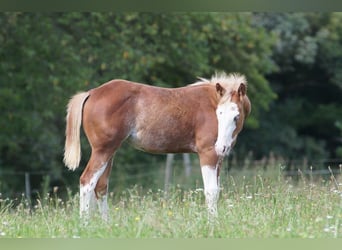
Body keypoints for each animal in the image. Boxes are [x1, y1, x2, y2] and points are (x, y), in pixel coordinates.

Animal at [63, 71, 251, 220]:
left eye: (236, 116)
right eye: (219, 113)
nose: (221, 146)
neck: (211, 101)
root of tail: (91, 93)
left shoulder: (218, 157)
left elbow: (217, 190)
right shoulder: (208, 153)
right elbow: (211, 191)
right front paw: (213, 223)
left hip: (109, 151)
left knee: (101, 186)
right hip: (103, 150)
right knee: (87, 182)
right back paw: (85, 224)